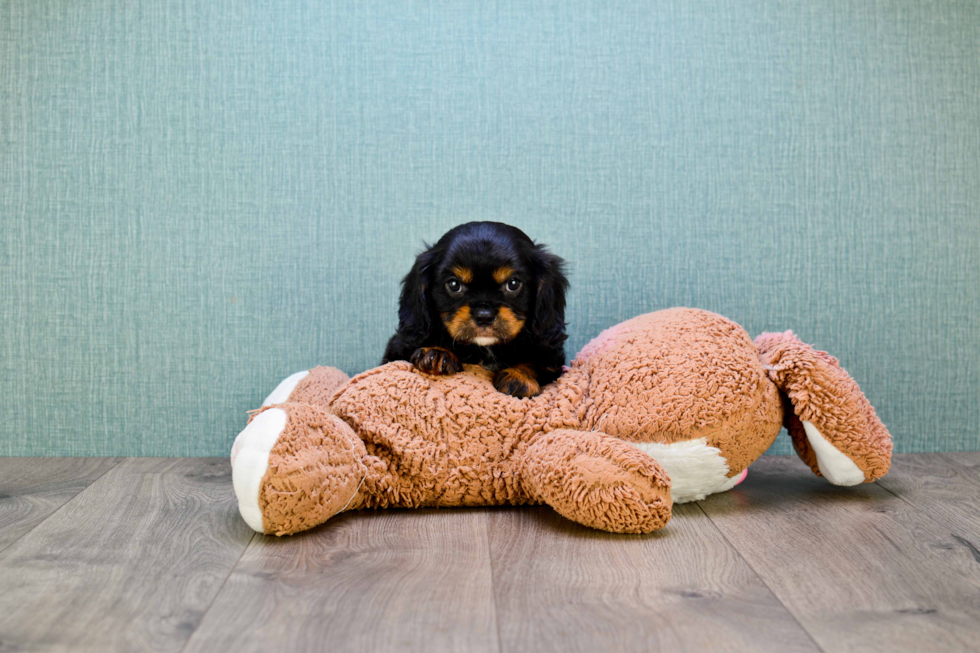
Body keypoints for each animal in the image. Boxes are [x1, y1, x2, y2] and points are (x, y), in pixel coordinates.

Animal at [380, 222, 568, 398]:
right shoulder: (396, 350)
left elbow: (536, 363)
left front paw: (519, 377)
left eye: (513, 284)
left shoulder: (552, 358)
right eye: (454, 284)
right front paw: (437, 353)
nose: (484, 316)